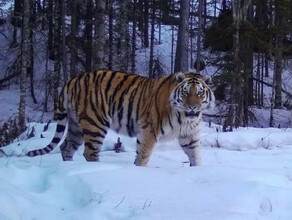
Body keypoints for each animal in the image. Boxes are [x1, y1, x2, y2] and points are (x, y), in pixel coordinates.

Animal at [26, 69, 214, 166]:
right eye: (186, 92)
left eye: (199, 93)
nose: (193, 106)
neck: (184, 117)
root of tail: (72, 79)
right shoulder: (149, 130)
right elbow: (144, 154)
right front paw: (139, 169)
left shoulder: (189, 136)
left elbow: (196, 156)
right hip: (95, 123)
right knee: (90, 152)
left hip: (76, 126)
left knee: (66, 146)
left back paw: (69, 167)